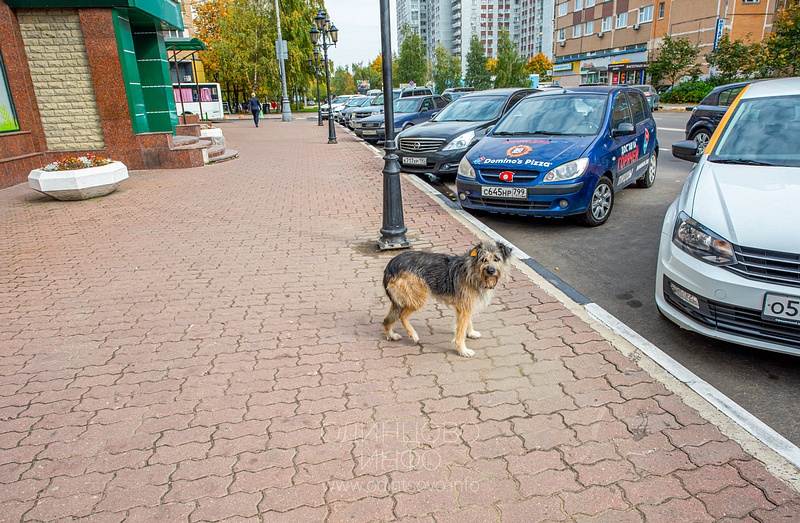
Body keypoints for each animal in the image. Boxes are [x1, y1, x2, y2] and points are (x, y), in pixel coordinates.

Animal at [382, 241, 512, 356]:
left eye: (496, 259)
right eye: (483, 259)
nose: (491, 271)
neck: (473, 271)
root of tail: (390, 265)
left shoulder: (467, 304)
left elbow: (467, 322)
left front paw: (471, 333)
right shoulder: (464, 307)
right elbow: (460, 331)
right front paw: (463, 350)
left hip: (400, 300)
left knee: (387, 319)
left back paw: (391, 335)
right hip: (418, 297)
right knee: (402, 315)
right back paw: (412, 334)